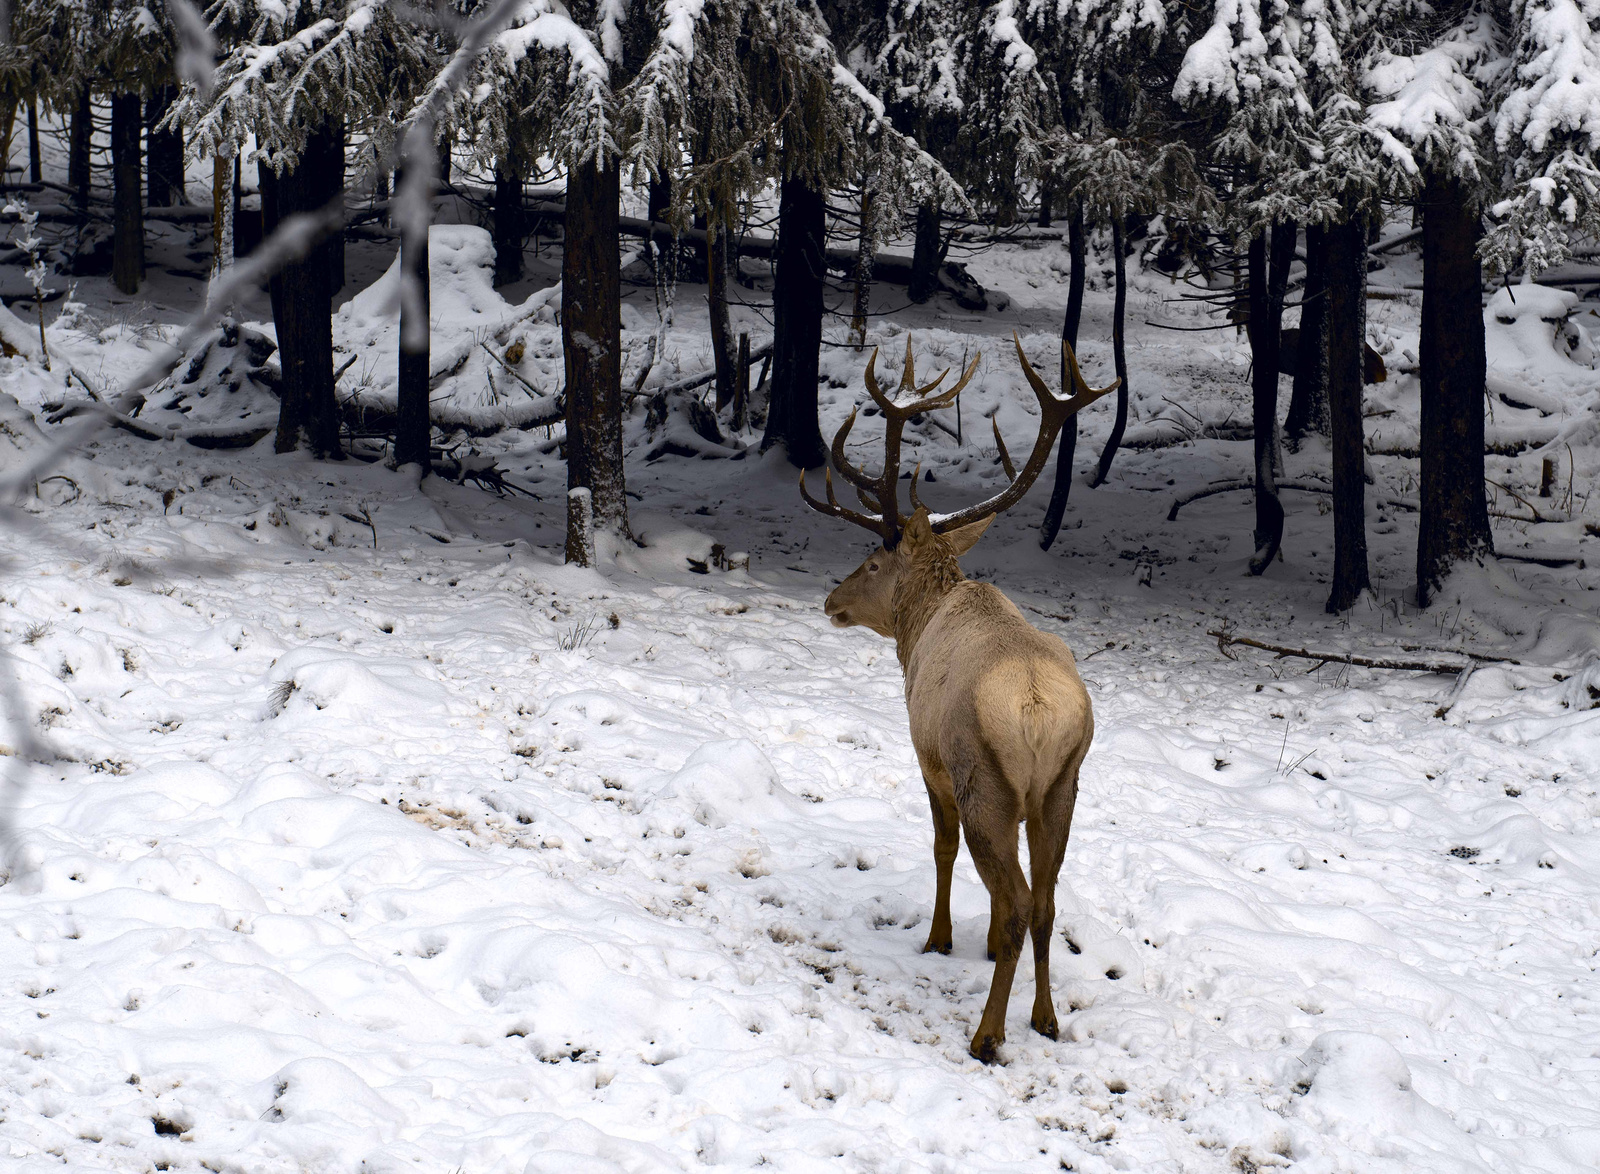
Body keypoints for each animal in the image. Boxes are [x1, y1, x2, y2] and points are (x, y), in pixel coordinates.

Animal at [796, 332, 1113, 1068]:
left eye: (873, 562)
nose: (831, 601)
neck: (919, 630)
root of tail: (1037, 712)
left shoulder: (928, 758)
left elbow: (939, 848)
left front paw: (940, 938)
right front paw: (988, 947)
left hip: (985, 782)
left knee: (1018, 896)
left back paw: (988, 1033)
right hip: (1063, 785)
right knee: (1045, 899)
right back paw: (1045, 1017)